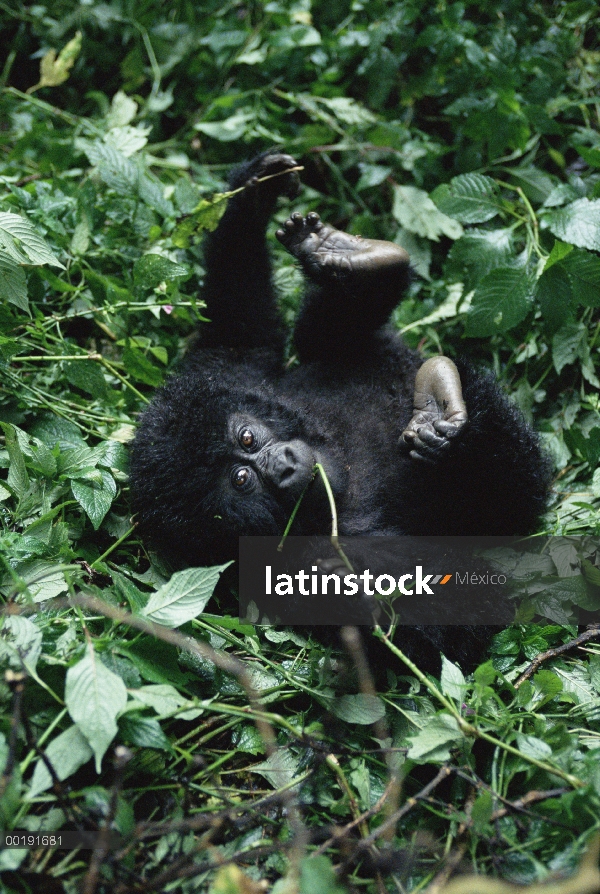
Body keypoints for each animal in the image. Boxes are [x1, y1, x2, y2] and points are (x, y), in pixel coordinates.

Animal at [129, 154, 552, 668]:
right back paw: (443, 420)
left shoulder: (224, 374)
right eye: (242, 480)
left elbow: (240, 332)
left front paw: (252, 193)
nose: (283, 465)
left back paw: (348, 262)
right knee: (513, 494)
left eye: (247, 438)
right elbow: (456, 621)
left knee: (323, 341)